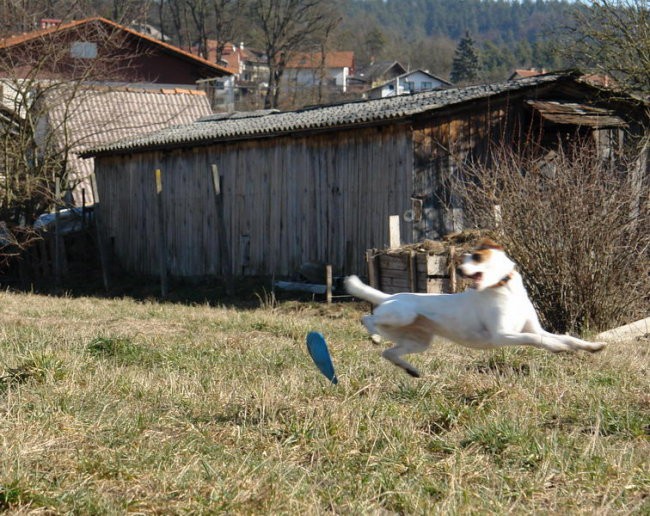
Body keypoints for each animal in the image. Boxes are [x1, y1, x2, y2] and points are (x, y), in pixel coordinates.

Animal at [344, 240, 604, 376]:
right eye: (463, 259)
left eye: (476, 256)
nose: (458, 270)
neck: (505, 290)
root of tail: (391, 295)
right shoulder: (502, 335)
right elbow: (536, 339)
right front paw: (556, 348)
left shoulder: (536, 328)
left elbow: (567, 338)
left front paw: (592, 346)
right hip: (402, 315)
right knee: (368, 319)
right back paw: (375, 336)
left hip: (418, 341)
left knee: (389, 353)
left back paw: (410, 370)